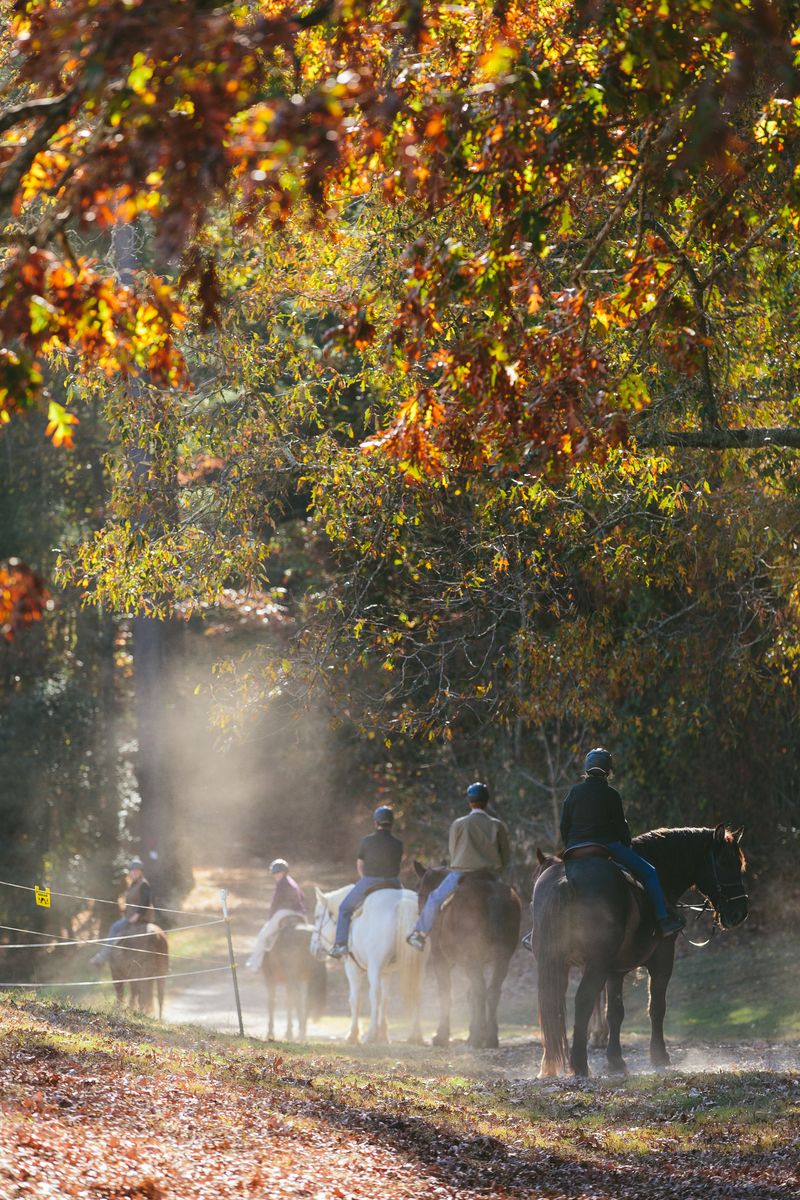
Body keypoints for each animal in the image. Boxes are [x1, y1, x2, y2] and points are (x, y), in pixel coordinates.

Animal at [311, 888, 424, 1046]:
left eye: (317, 917)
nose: (313, 948)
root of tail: (404, 901)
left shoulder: (352, 968)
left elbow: (355, 1000)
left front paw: (353, 1035)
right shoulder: (386, 972)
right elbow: (385, 999)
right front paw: (383, 1034)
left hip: (374, 967)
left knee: (374, 994)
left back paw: (371, 1034)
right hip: (418, 965)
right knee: (416, 992)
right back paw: (415, 1035)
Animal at [417, 864, 522, 1051]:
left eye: (419, 892)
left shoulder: (441, 959)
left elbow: (445, 993)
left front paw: (442, 1036)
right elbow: (469, 994)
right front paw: (472, 1031)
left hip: (472, 958)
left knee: (481, 991)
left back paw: (478, 1038)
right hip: (501, 958)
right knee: (492, 991)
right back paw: (490, 1037)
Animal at [534, 825, 748, 1080]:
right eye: (725, 861)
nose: (739, 913)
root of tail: (566, 880)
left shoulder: (615, 971)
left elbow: (615, 1012)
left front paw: (616, 1061)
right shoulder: (662, 959)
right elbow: (656, 1007)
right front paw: (659, 1056)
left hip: (558, 963)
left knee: (552, 1005)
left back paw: (550, 1066)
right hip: (595, 965)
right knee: (582, 1000)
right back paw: (579, 1064)